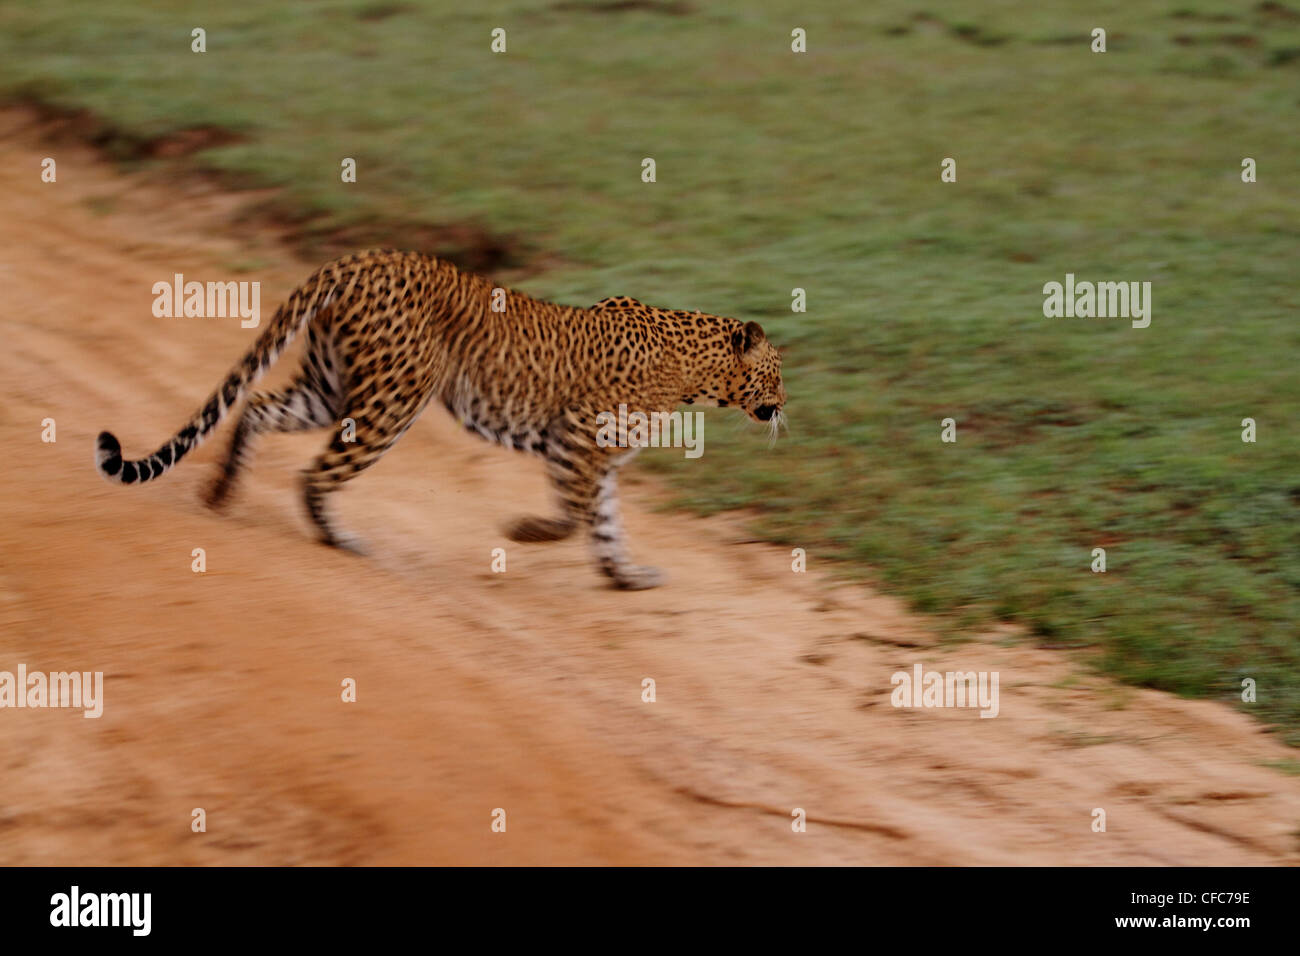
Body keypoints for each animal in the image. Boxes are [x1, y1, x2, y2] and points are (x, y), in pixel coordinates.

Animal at [94, 249, 786, 589]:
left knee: (258, 408)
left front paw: (627, 577)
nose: (785, 408)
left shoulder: (602, 459)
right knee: (316, 472)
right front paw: (524, 532)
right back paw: (337, 538)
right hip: (395, 398)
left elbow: (607, 527)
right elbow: (573, 517)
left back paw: (221, 492)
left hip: (331, 387)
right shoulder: (577, 439)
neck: (696, 372)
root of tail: (362, 257)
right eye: (778, 375)